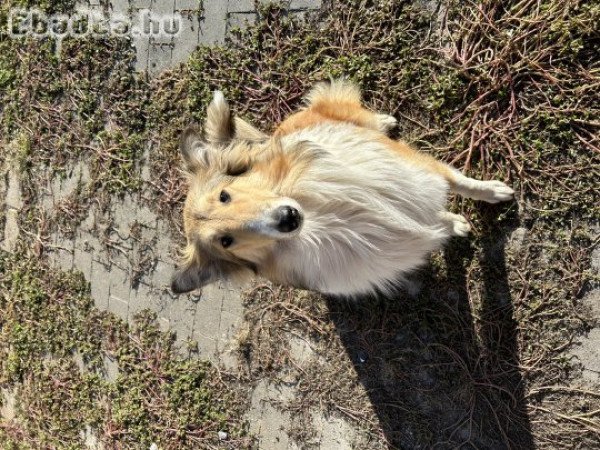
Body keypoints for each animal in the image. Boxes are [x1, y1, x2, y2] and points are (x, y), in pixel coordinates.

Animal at [171, 79, 512, 298]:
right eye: (226, 242)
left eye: (225, 195)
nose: (286, 219)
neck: (330, 216)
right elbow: (438, 219)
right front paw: (454, 223)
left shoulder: (421, 172)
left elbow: (460, 182)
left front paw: (495, 192)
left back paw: (384, 121)